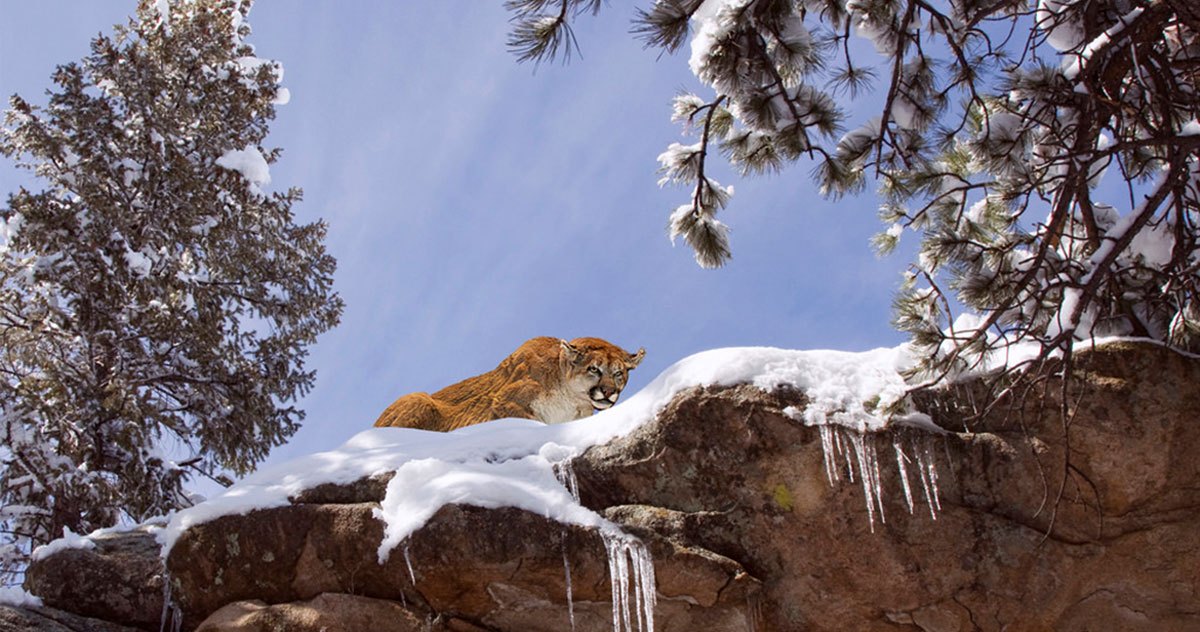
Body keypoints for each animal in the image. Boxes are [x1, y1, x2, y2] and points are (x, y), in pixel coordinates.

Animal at [374, 337, 646, 431]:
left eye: (619, 373)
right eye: (594, 369)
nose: (609, 392)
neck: (572, 401)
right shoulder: (505, 402)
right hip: (417, 398)